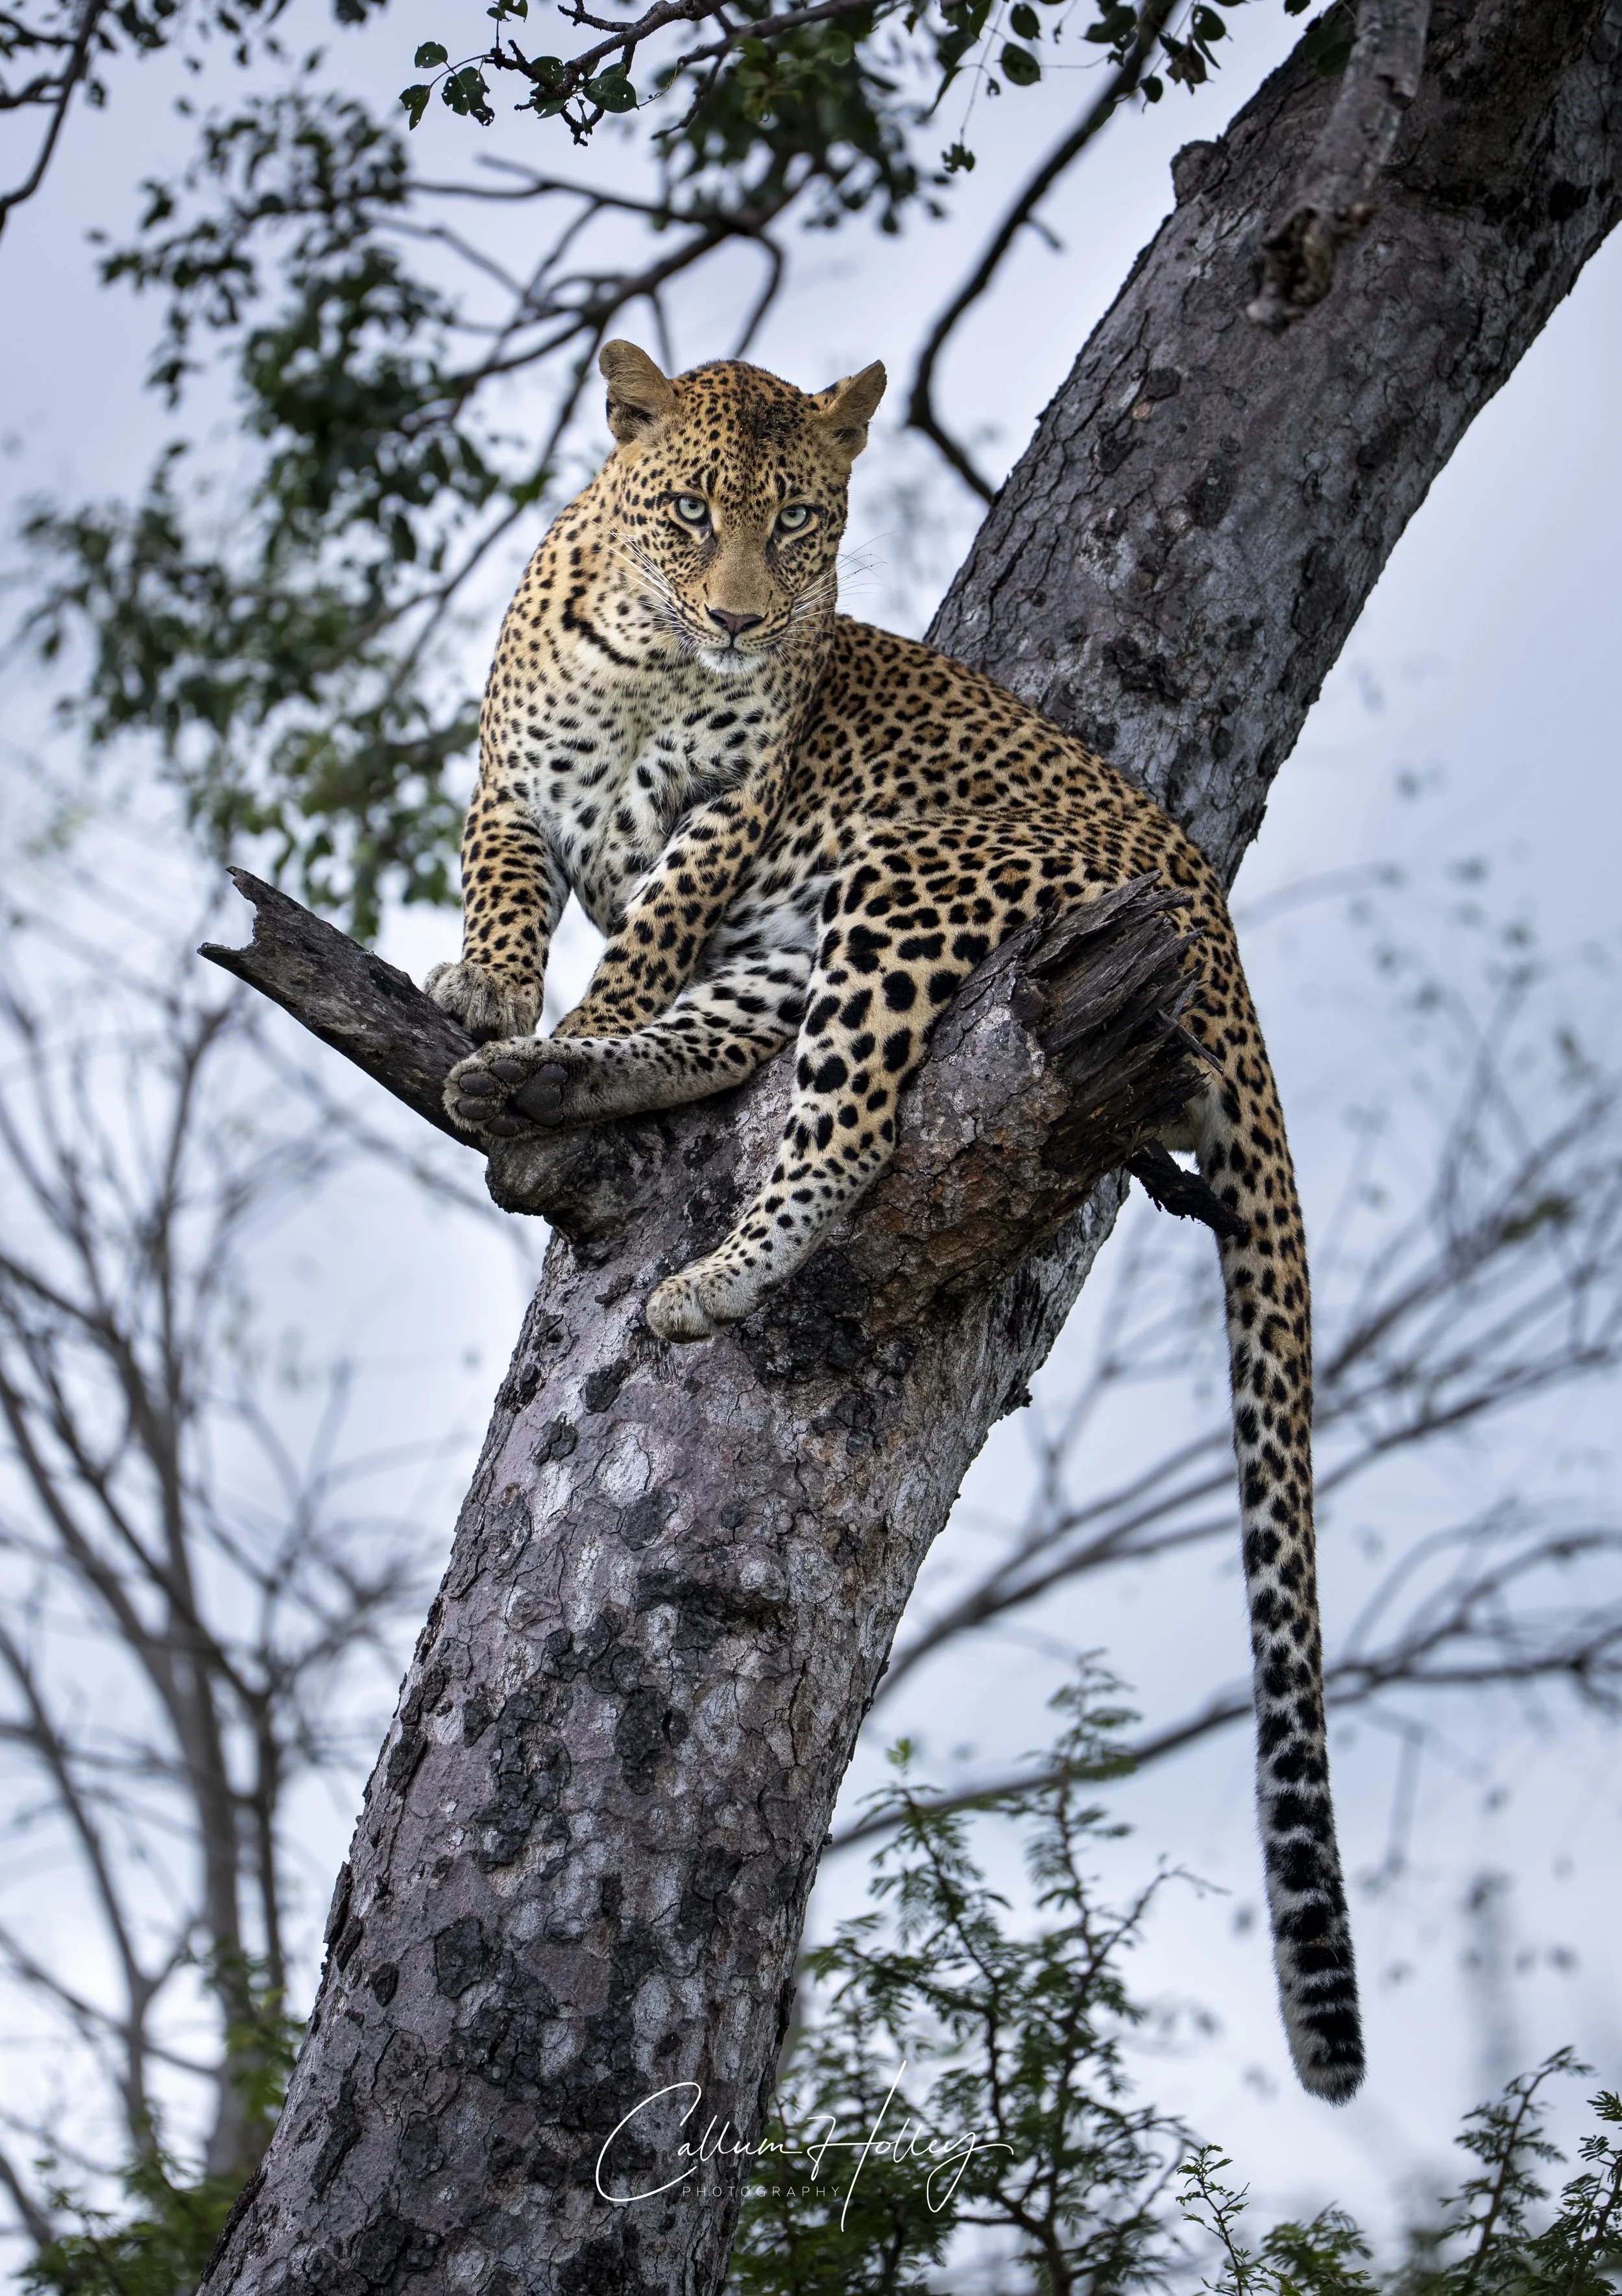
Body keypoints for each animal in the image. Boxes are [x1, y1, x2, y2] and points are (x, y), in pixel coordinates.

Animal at [426, 338, 1365, 2103]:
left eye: (798, 524)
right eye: (689, 510)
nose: (742, 619)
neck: (649, 663)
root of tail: (1211, 922)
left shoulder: (726, 825)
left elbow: (642, 933)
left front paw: (564, 1007)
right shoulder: (510, 790)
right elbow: (504, 883)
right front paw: (486, 991)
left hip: (901, 881)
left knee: (844, 1118)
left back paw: (712, 1266)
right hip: (803, 946)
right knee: (720, 1043)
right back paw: (541, 1084)